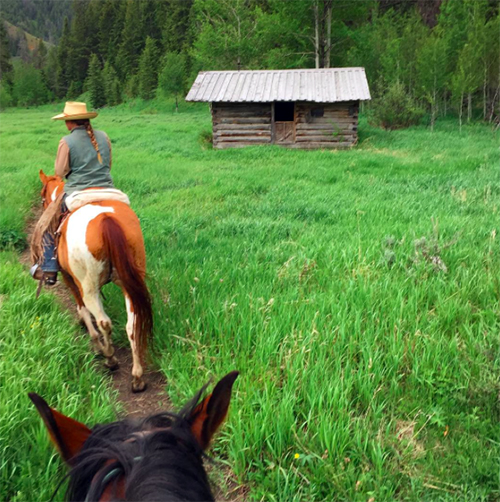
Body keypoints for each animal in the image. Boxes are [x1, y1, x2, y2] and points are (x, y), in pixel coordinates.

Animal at [38, 172, 151, 392]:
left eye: (42, 194)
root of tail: (106, 219)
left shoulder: (69, 279)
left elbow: (82, 309)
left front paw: (95, 342)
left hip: (88, 286)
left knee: (103, 322)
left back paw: (110, 358)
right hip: (130, 282)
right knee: (132, 325)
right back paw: (137, 377)